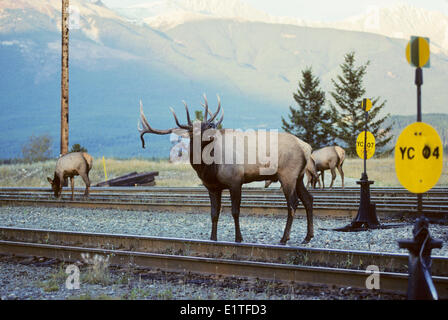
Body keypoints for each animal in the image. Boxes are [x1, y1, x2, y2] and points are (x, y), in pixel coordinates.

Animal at [139, 96, 316, 244]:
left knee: (293, 203)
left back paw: (284, 238)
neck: (209, 168)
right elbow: (214, 213)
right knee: (308, 199)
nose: (212, 125)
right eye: (195, 129)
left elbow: (235, 211)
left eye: (207, 124)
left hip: (288, 174)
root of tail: (306, 147)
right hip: (299, 176)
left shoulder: (235, 181)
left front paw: (239, 238)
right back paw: (307, 237)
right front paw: (213, 238)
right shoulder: (211, 187)